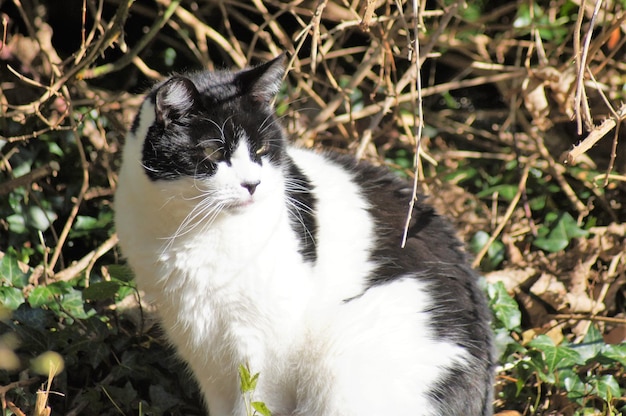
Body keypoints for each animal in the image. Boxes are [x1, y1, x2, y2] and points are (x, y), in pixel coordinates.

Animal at [113, 55, 492, 416]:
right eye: (213, 153)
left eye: (261, 151)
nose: (252, 184)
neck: (193, 232)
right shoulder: (195, 336)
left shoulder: (265, 341)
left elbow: (255, 401)